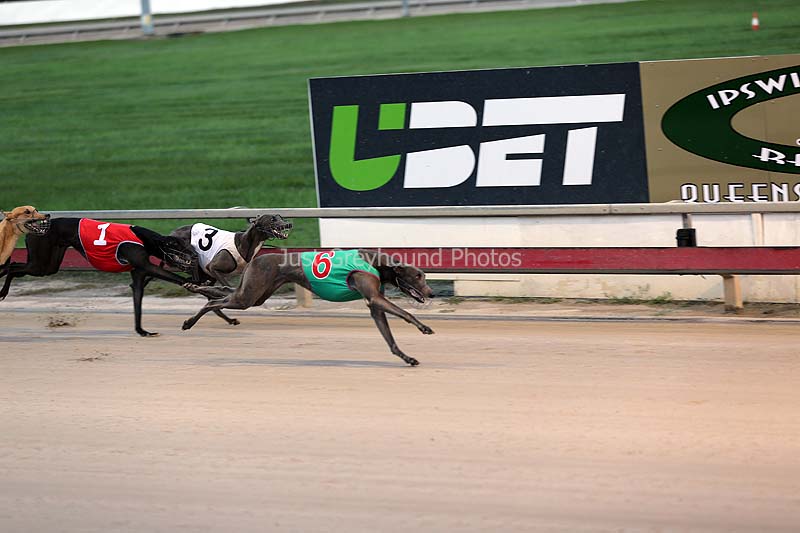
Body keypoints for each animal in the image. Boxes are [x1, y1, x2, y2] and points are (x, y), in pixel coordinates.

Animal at [0, 217, 197, 337]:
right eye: (177, 245)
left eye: (186, 244)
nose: (195, 255)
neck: (143, 238)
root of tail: (33, 229)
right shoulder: (147, 266)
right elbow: (177, 278)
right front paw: (195, 285)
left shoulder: (139, 274)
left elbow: (138, 303)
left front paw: (142, 331)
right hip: (40, 262)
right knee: (12, 267)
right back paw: (2, 291)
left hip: (48, 265)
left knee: (14, 266)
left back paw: (3, 289)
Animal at [181, 249, 435, 366]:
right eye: (418, 276)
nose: (431, 293)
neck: (378, 262)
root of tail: (257, 258)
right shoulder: (374, 297)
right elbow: (406, 313)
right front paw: (424, 327)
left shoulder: (375, 305)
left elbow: (389, 337)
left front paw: (406, 357)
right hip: (248, 296)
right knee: (214, 301)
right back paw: (189, 321)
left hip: (255, 294)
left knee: (220, 293)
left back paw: (194, 287)